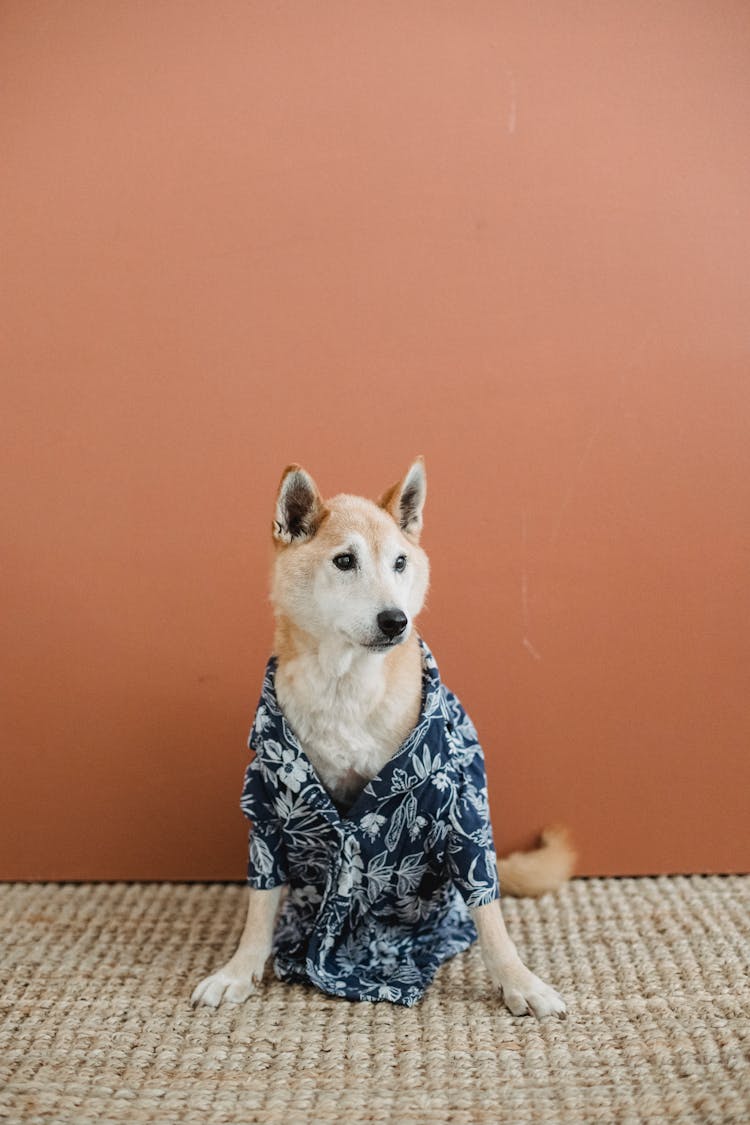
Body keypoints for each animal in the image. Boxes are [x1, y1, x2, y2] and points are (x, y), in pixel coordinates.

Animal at [192, 461, 575, 1017]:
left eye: (399, 562)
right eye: (344, 561)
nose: (396, 620)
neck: (346, 687)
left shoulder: (459, 809)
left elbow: (489, 914)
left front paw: (519, 982)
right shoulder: (268, 807)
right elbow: (260, 907)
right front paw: (239, 970)